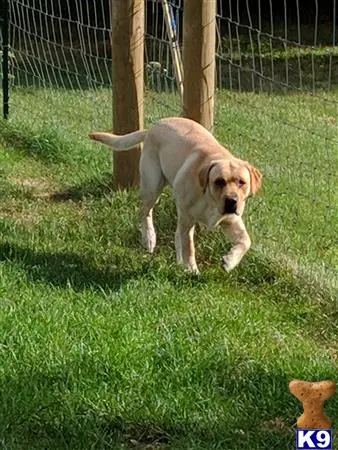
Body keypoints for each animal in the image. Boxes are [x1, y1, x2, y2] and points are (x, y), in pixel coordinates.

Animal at [88, 116, 262, 272]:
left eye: (241, 182)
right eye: (219, 181)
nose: (232, 200)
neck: (210, 200)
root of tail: (152, 127)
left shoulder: (231, 220)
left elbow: (246, 241)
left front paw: (230, 261)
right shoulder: (187, 217)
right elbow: (189, 247)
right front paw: (192, 270)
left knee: (175, 233)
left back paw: (178, 262)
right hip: (153, 186)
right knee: (145, 212)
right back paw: (149, 238)